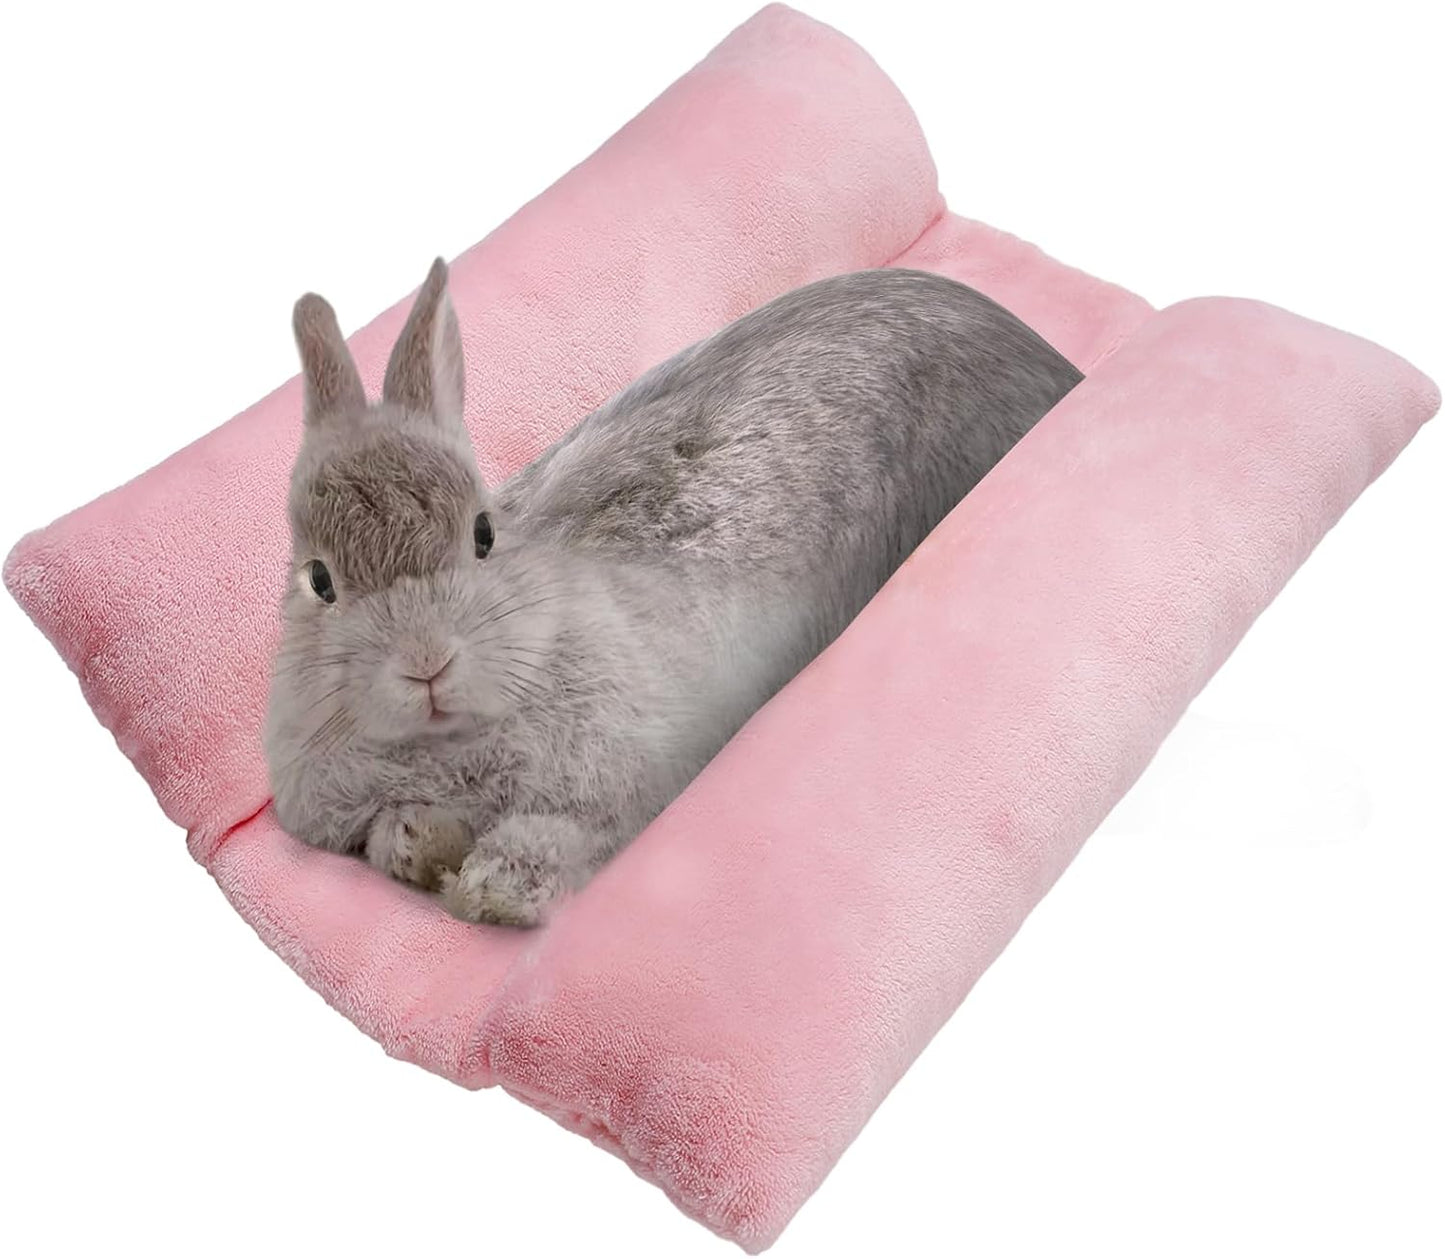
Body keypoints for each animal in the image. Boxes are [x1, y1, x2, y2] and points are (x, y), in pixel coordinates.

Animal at [263, 258, 1082, 926]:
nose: (426, 661)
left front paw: (492, 892)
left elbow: (564, 837)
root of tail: (1052, 360)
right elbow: (388, 837)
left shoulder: (621, 786)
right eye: (320, 580)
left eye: (483, 533)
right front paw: (429, 851)